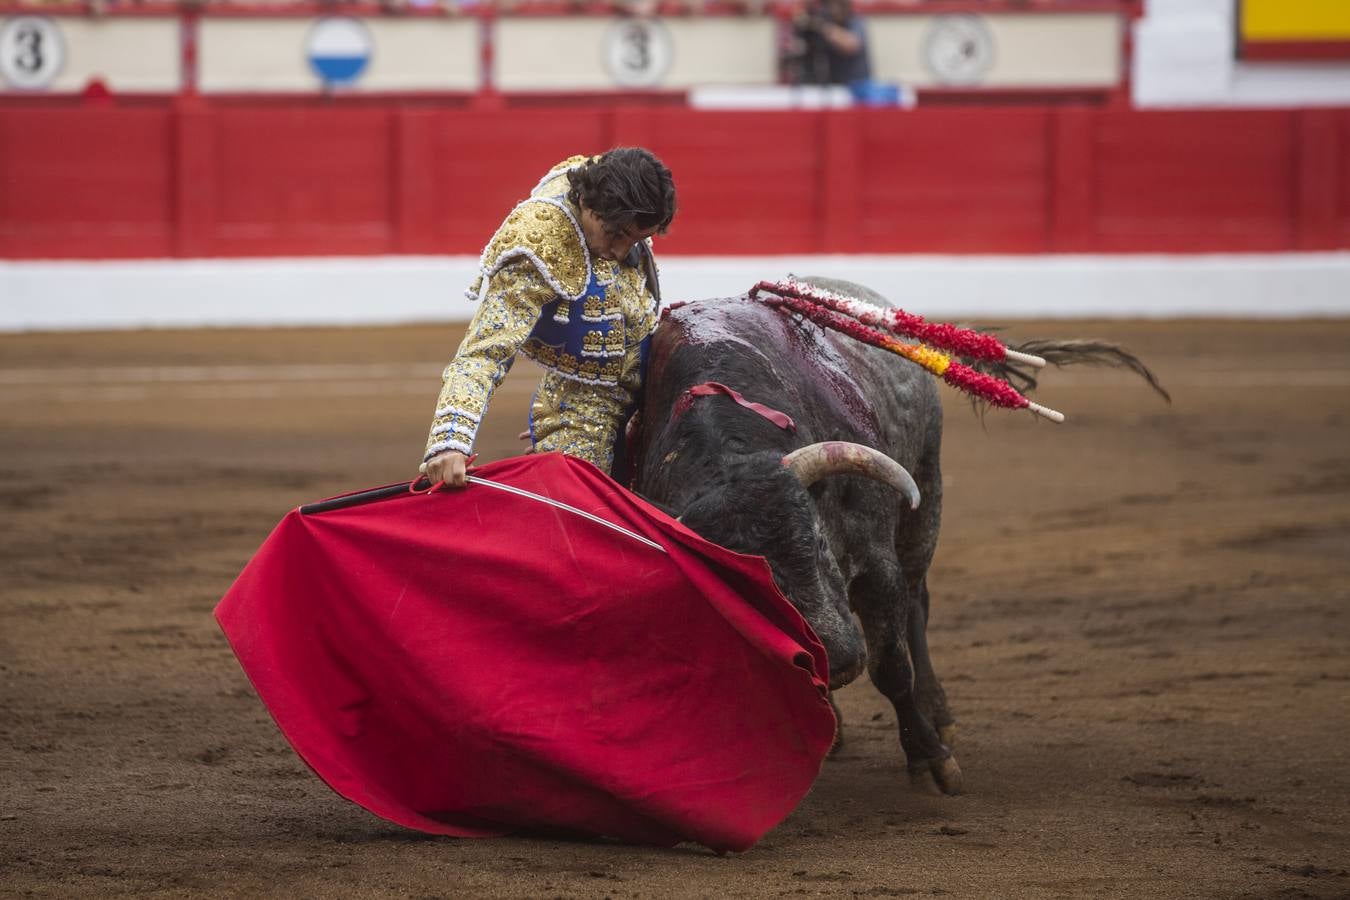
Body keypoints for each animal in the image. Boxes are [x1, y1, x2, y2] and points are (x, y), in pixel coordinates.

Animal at [626, 276, 1166, 793]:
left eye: (816, 540)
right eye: (739, 580)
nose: (837, 658)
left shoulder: (876, 563)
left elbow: (890, 664)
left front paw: (931, 761)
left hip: (927, 497)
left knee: (915, 607)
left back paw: (939, 715)